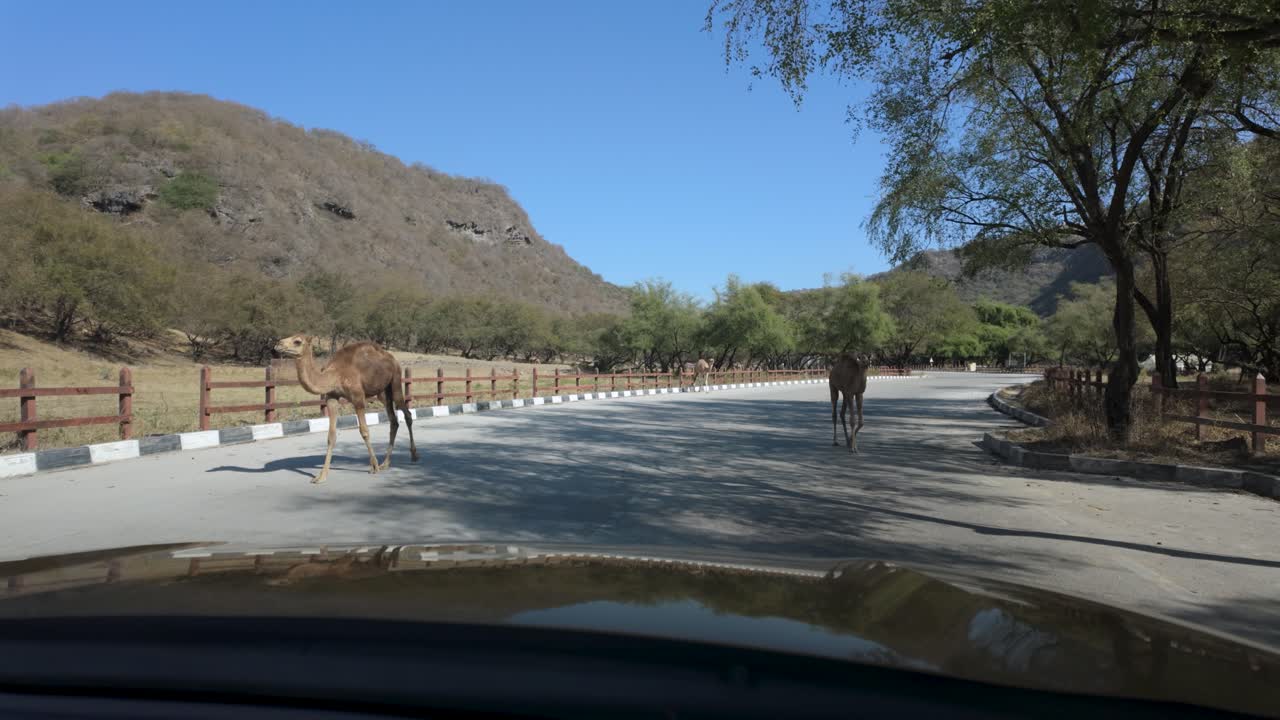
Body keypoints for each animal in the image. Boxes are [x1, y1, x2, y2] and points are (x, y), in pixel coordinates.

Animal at [279, 334, 418, 484]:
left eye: (297, 341)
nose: (278, 344)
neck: (335, 374)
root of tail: (392, 358)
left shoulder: (358, 397)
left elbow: (364, 431)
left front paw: (374, 466)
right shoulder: (331, 398)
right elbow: (331, 436)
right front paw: (321, 476)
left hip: (396, 379)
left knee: (407, 414)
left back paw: (413, 456)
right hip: (383, 392)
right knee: (393, 421)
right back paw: (385, 463)